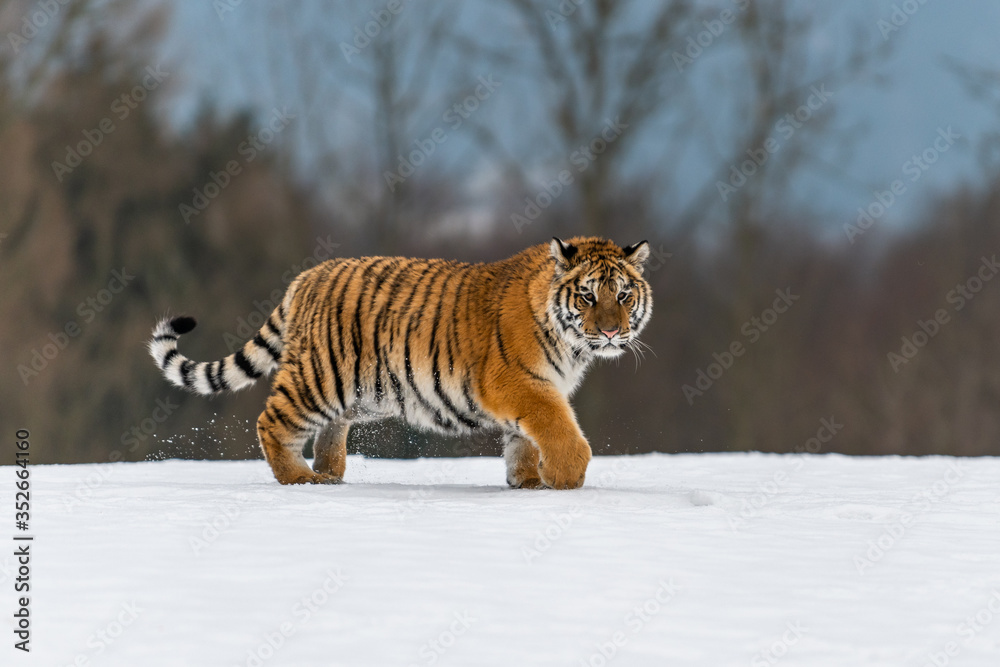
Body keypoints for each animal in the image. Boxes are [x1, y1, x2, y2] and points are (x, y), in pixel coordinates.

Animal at [148, 236, 652, 489]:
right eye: (588, 296)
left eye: (624, 295)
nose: (612, 331)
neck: (572, 344)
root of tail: (306, 276)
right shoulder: (520, 383)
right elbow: (561, 432)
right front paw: (565, 478)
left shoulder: (535, 391)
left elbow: (524, 440)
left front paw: (527, 481)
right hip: (317, 378)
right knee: (271, 421)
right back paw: (299, 479)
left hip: (359, 392)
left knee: (329, 432)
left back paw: (329, 475)